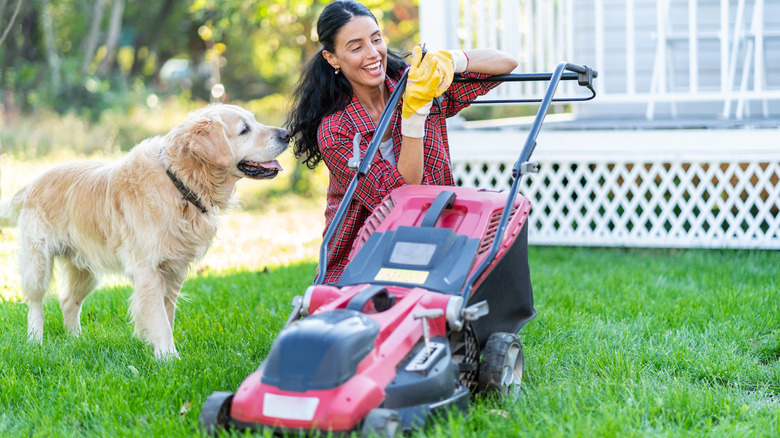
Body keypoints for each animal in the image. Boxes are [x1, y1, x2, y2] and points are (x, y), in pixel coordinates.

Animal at [0, 103, 290, 360]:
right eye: (244, 129)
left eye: (255, 121)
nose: (287, 134)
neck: (179, 183)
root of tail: (32, 182)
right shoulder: (148, 270)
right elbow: (159, 319)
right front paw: (168, 359)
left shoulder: (173, 271)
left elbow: (167, 314)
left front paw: (159, 351)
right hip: (38, 263)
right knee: (35, 303)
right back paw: (35, 340)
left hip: (86, 269)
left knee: (68, 301)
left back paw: (75, 340)